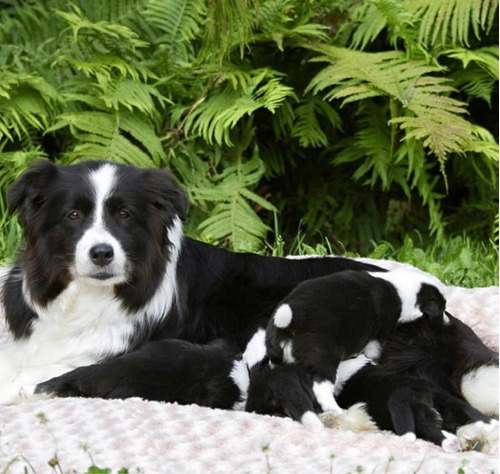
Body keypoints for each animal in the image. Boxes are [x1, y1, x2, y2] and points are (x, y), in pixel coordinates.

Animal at [266, 268, 446, 416]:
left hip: (276, 356)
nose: (446, 319)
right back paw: (336, 409)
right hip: (323, 357)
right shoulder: (378, 336)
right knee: (321, 386)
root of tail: (289, 320)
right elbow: (374, 353)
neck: (401, 291)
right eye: (442, 309)